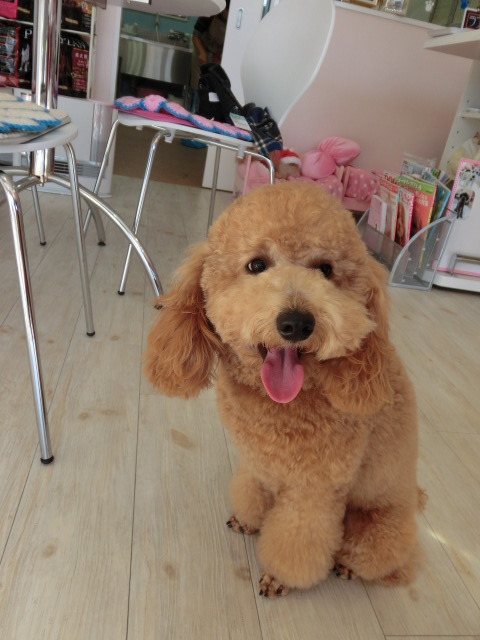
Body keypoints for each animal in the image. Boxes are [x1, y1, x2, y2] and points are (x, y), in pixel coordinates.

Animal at [145, 182, 423, 598]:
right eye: (256, 265)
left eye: (326, 270)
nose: (296, 323)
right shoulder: (258, 465)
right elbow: (252, 493)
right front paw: (248, 519)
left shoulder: (314, 493)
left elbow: (297, 543)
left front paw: (279, 577)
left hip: (377, 529)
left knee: (381, 563)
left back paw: (350, 567)